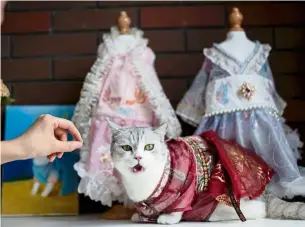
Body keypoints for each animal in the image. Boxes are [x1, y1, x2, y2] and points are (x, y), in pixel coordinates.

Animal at [107, 119, 270, 224]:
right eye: (126, 148)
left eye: (148, 147)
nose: (138, 157)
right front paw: (142, 216)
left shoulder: (188, 178)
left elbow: (180, 204)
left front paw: (169, 217)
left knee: (259, 210)